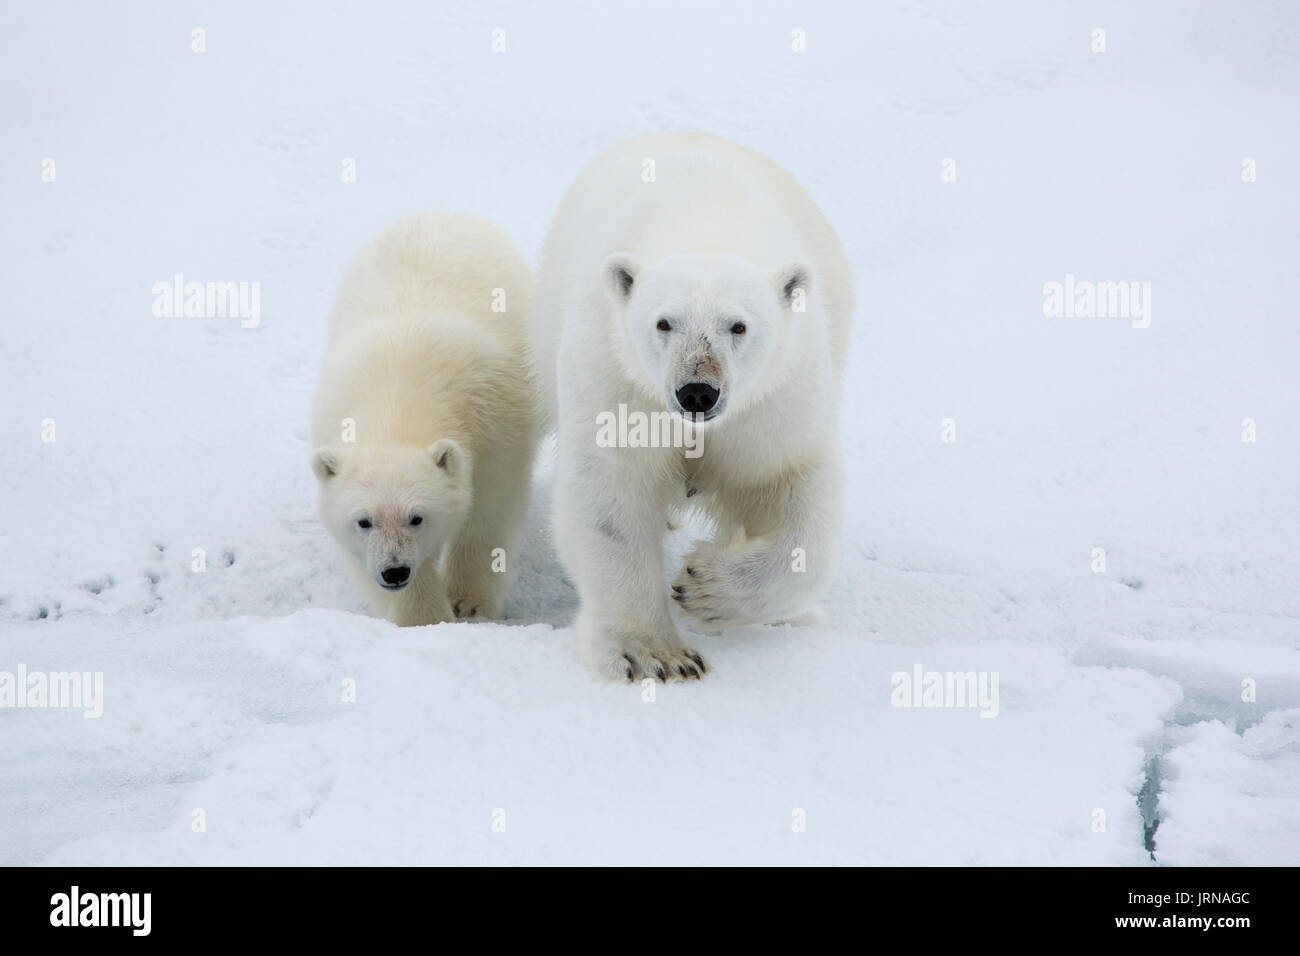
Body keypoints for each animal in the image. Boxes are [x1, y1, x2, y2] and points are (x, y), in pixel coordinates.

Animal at [311, 212, 535, 626]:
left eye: (417, 517)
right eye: (364, 520)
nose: (395, 571)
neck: (399, 396)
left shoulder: (497, 424)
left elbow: (489, 512)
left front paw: (469, 603)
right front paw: (425, 617)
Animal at [529, 132, 854, 682]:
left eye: (738, 326)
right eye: (664, 322)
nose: (697, 392)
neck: (704, 217)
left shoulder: (777, 394)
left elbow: (790, 486)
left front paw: (704, 585)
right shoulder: (616, 371)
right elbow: (611, 491)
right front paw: (653, 655)